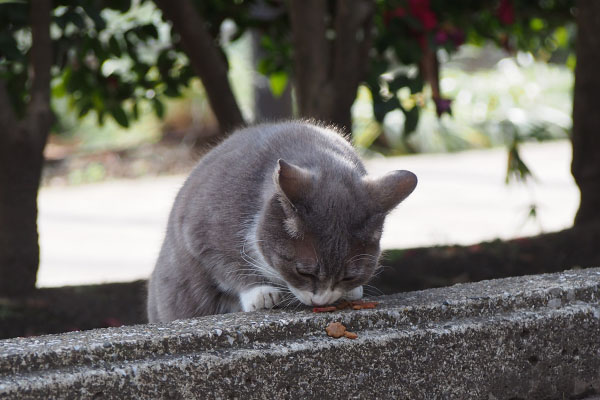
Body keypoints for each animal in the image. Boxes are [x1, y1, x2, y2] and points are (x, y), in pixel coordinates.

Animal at [146, 120, 418, 324]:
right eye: (303, 271)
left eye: (349, 276)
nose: (321, 301)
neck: (319, 153)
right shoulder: (201, 230)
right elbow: (227, 265)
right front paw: (260, 293)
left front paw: (353, 290)